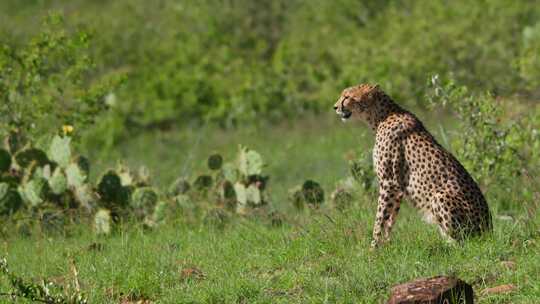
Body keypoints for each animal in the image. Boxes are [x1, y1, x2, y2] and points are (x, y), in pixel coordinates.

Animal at [334, 83, 490, 247]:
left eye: (347, 97)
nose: (335, 107)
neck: (381, 117)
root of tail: (488, 231)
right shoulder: (397, 187)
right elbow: (389, 220)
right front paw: (386, 246)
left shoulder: (388, 182)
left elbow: (380, 219)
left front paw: (373, 248)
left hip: (439, 196)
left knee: (463, 242)